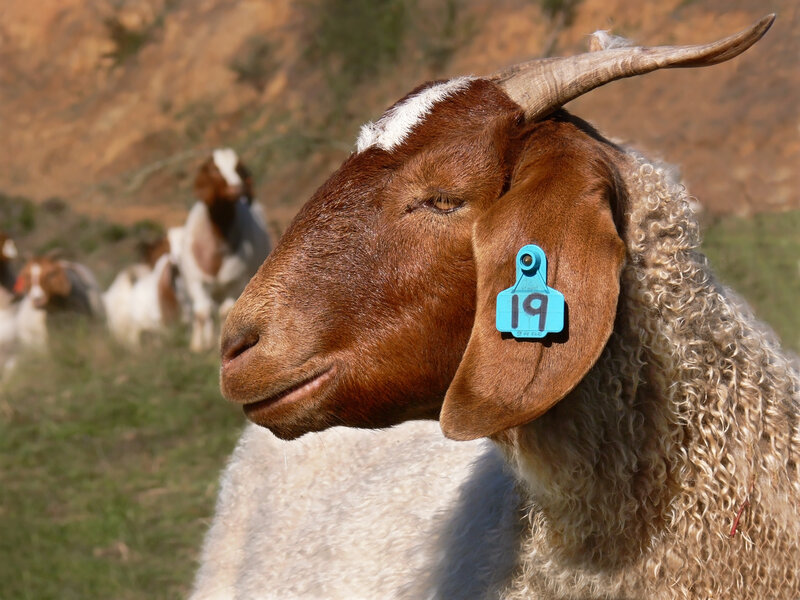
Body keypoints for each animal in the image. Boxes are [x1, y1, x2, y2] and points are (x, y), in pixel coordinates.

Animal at [177, 148, 271, 352]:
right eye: (214, 170)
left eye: (239, 169)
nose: (237, 189)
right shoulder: (196, 281)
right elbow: (201, 313)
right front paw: (198, 346)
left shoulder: (236, 282)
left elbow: (225, 312)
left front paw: (217, 345)